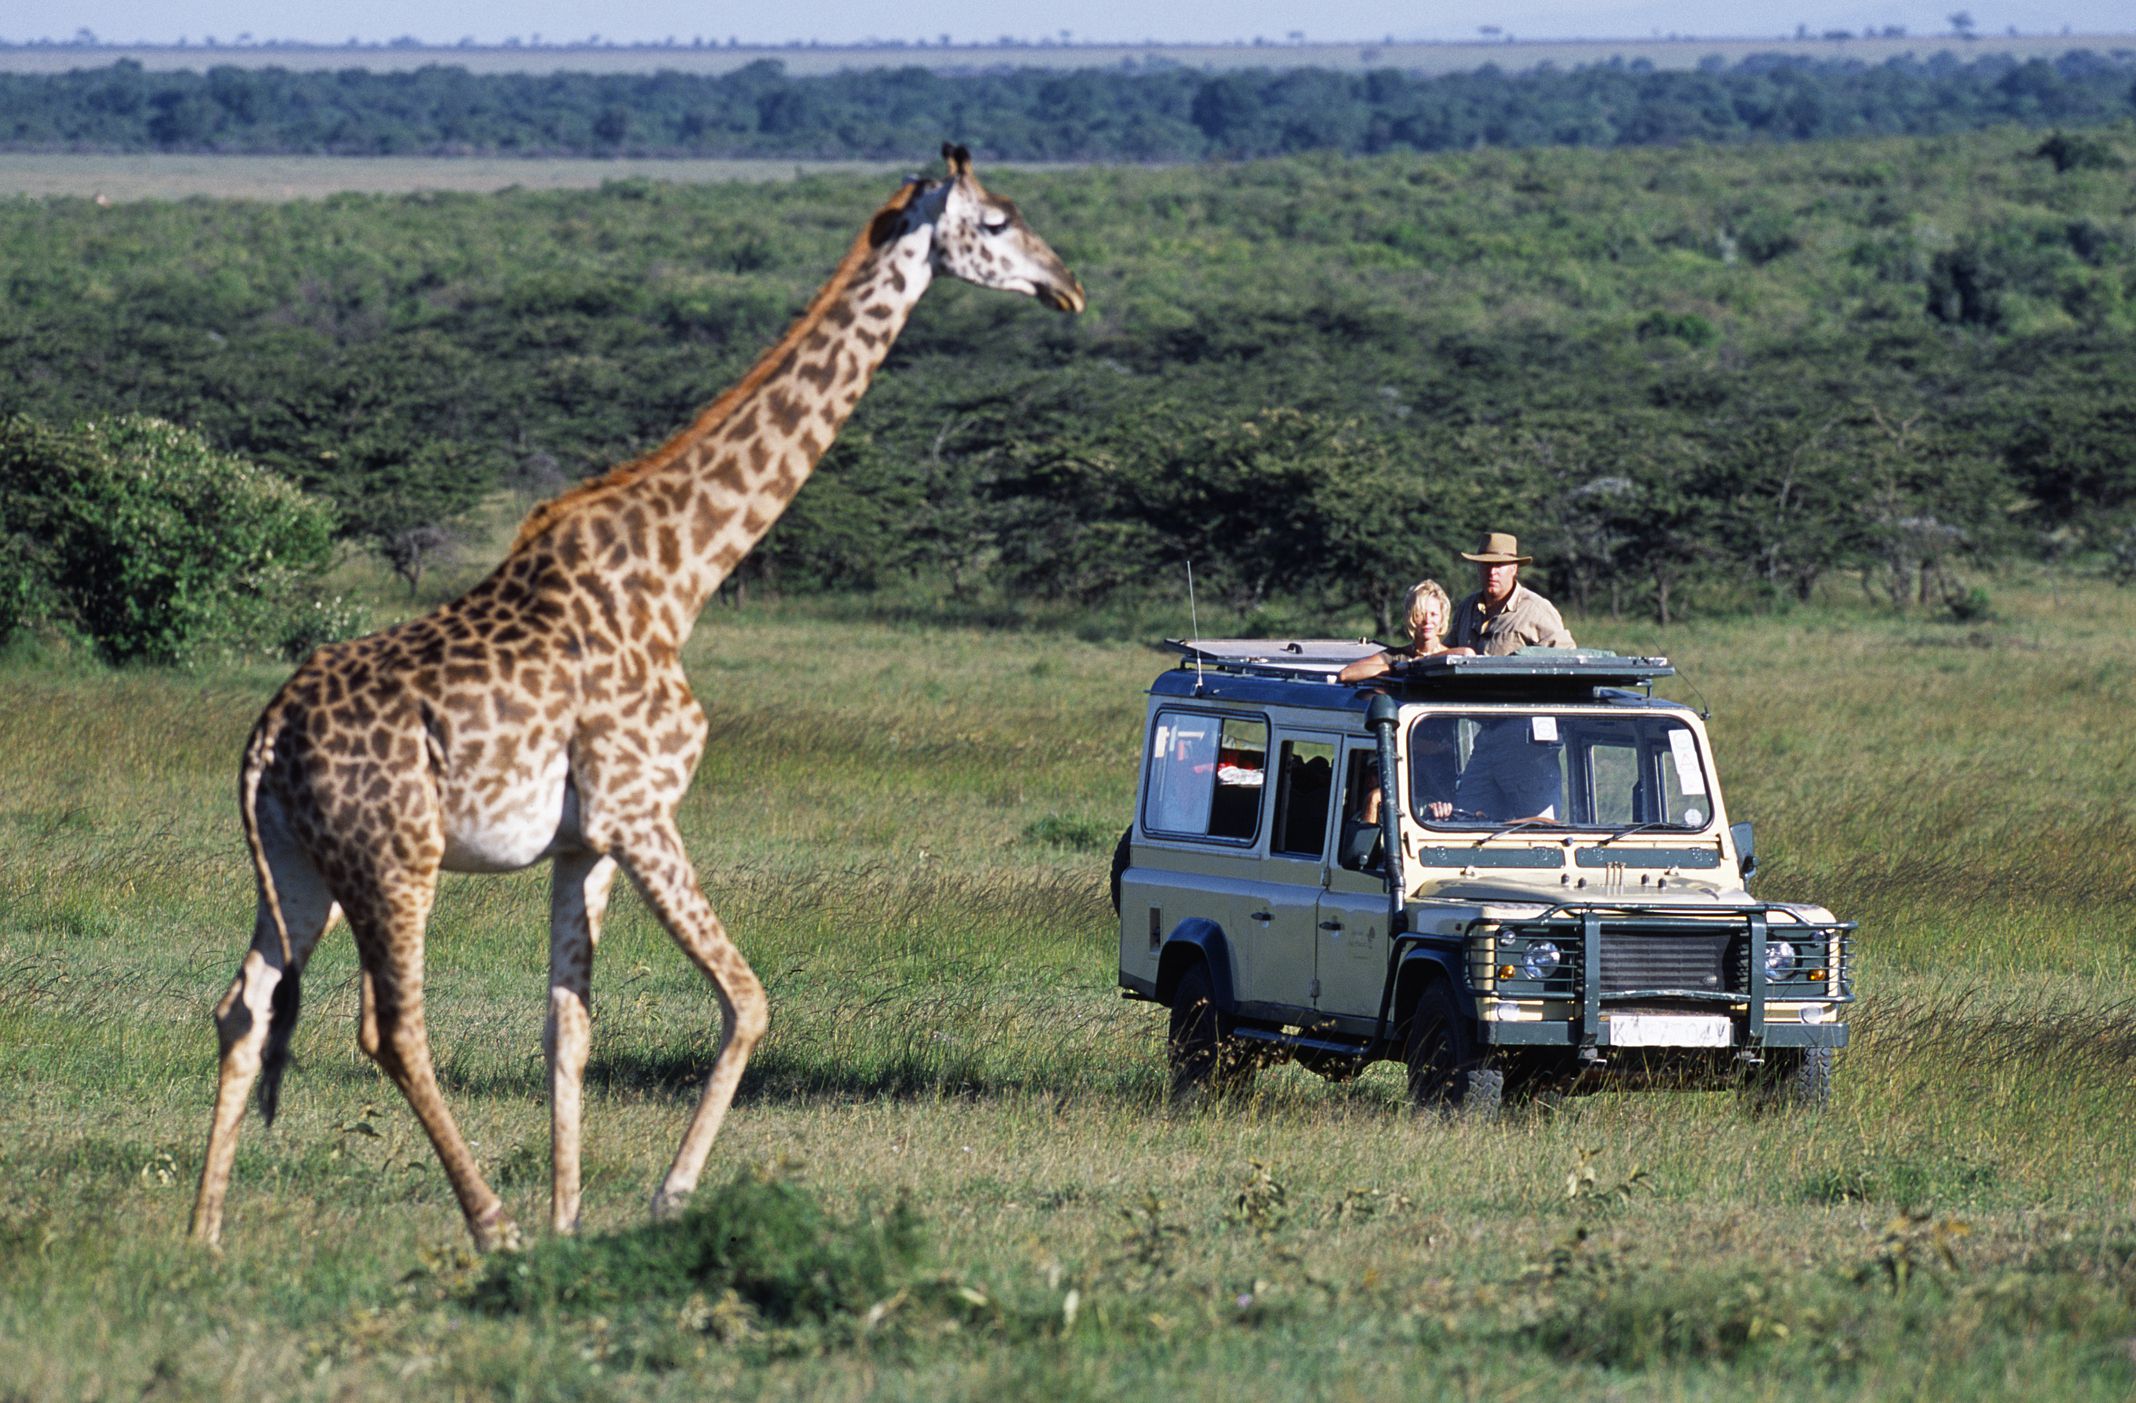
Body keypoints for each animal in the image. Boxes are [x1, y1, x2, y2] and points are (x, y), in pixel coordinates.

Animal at [192, 147, 1085, 1255]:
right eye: (998, 221)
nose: (1067, 285)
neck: (682, 572)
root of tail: (267, 736)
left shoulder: (586, 840)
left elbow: (568, 1025)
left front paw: (572, 1218)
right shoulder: (642, 808)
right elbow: (748, 1000)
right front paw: (665, 1197)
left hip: (296, 862)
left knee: (245, 1005)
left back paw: (205, 1234)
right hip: (395, 853)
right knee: (389, 1026)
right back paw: (490, 1225)